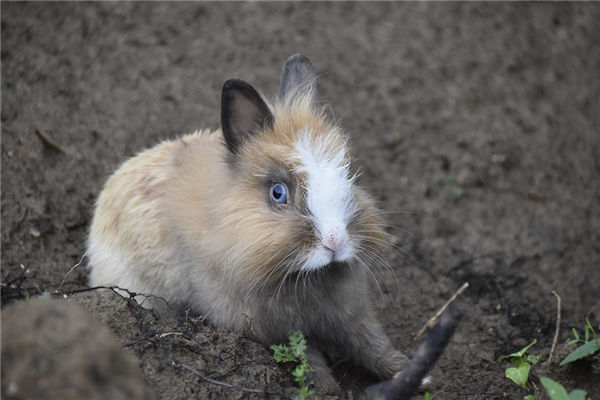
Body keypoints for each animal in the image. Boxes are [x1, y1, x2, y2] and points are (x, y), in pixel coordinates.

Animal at [86, 54, 410, 394]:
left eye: (347, 175)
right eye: (278, 192)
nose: (335, 241)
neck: (307, 276)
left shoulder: (349, 315)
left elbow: (371, 343)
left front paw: (410, 372)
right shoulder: (275, 329)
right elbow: (310, 361)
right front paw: (331, 392)